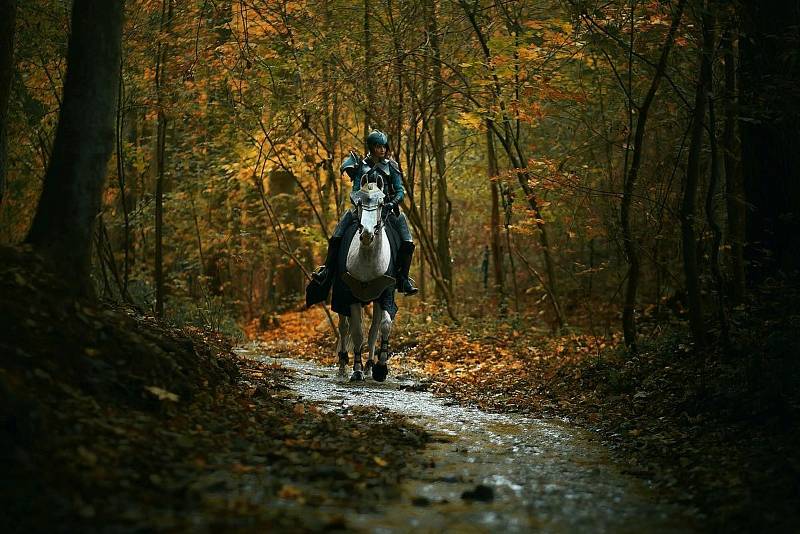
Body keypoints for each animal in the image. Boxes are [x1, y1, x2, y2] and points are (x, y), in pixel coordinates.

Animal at [332, 178, 396, 384]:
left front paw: (380, 368)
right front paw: (357, 370)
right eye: (358, 203)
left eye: (382, 203)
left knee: (373, 329)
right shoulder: (350, 295)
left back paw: (369, 366)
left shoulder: (385, 293)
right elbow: (357, 332)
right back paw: (343, 365)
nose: (367, 234)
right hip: (341, 297)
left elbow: (383, 325)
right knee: (344, 327)